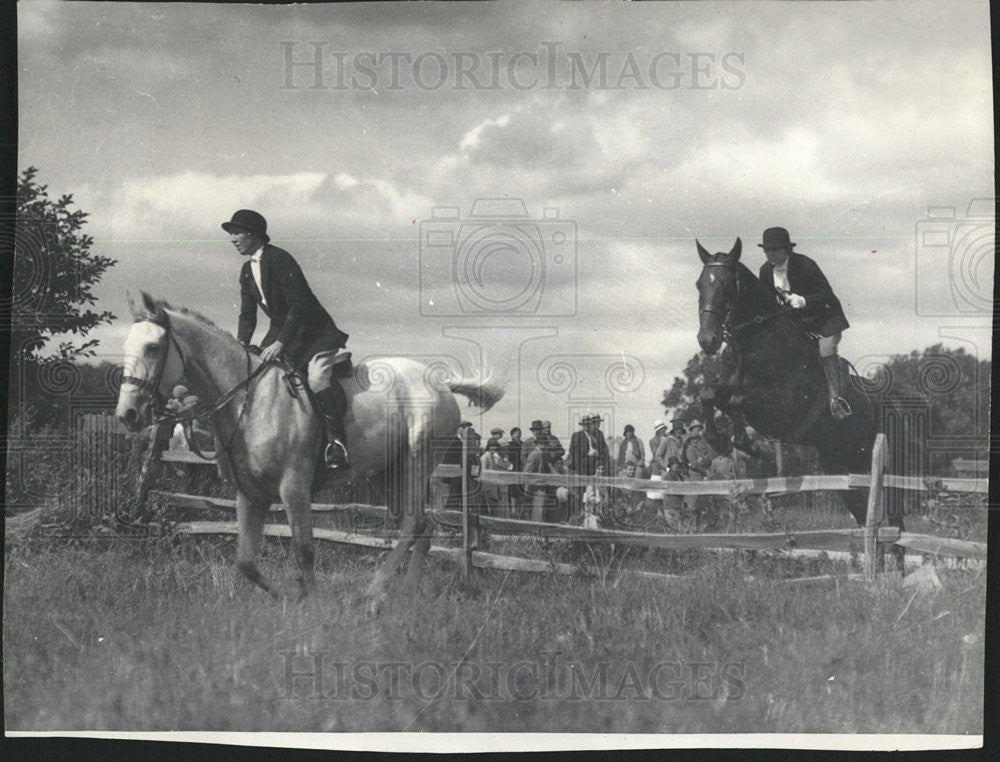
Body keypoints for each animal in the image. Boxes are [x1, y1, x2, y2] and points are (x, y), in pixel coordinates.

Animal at [116, 290, 504, 604]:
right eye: (125, 349)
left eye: (153, 348)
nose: (127, 415)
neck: (247, 399)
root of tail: (442, 383)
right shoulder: (250, 494)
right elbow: (246, 563)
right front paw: (290, 597)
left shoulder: (294, 487)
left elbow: (304, 549)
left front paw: (311, 604)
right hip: (386, 473)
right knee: (423, 527)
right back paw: (405, 594)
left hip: (416, 462)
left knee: (414, 523)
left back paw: (375, 591)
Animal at [696, 238, 916, 564]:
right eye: (699, 284)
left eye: (726, 286)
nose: (707, 341)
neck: (755, 340)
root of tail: (894, 403)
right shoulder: (732, 389)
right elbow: (711, 395)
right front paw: (719, 440)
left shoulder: (781, 407)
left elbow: (737, 400)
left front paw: (751, 446)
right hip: (843, 465)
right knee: (865, 516)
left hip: (888, 467)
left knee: (896, 521)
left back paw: (896, 571)